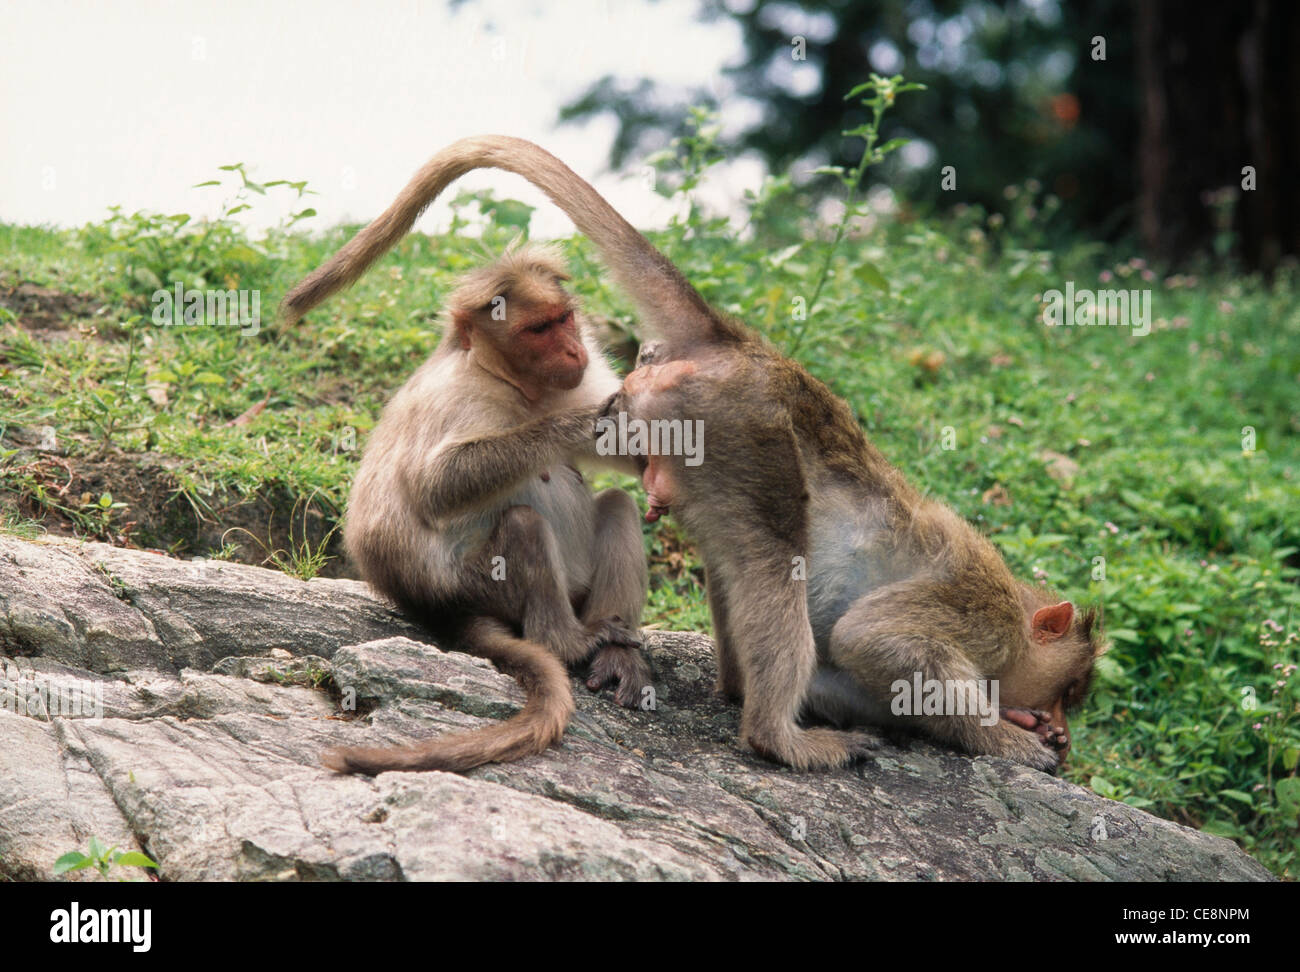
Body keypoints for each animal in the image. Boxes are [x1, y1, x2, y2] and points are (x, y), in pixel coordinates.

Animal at [287, 244, 651, 774]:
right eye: (539, 330)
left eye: (564, 319)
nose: (573, 350)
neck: (514, 383)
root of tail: (441, 608)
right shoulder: (457, 395)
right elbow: (435, 486)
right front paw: (574, 425)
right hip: (477, 585)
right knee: (523, 524)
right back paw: (566, 642)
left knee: (619, 507)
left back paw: (616, 657)